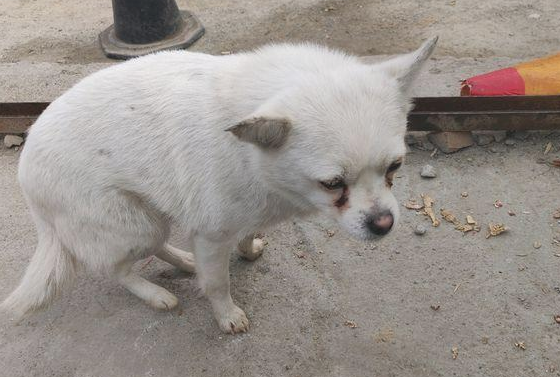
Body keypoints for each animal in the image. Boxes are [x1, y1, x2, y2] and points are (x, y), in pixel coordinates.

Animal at [1, 37, 438, 332]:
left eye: (395, 166)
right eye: (332, 183)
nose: (383, 224)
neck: (254, 160)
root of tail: (26, 163)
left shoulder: (237, 219)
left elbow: (244, 236)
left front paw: (247, 249)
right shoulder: (212, 235)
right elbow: (217, 282)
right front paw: (226, 316)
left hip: (151, 217)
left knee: (154, 246)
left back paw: (183, 260)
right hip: (133, 223)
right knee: (115, 268)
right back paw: (156, 294)